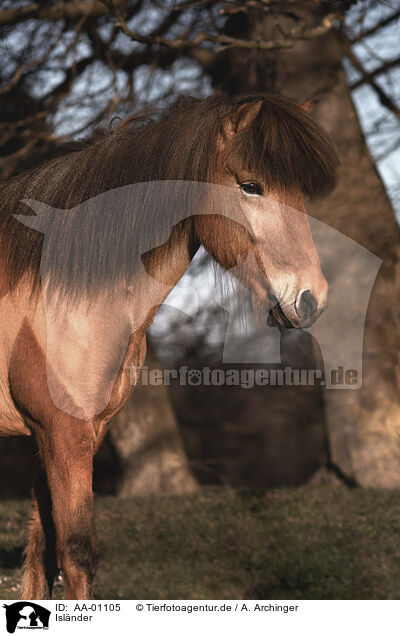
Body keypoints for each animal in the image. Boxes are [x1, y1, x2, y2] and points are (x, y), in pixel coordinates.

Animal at [0, 92, 338, 600]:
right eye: (251, 186)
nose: (310, 298)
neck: (59, 288)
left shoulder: (62, 436)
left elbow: (43, 556)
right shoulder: (63, 434)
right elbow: (76, 554)